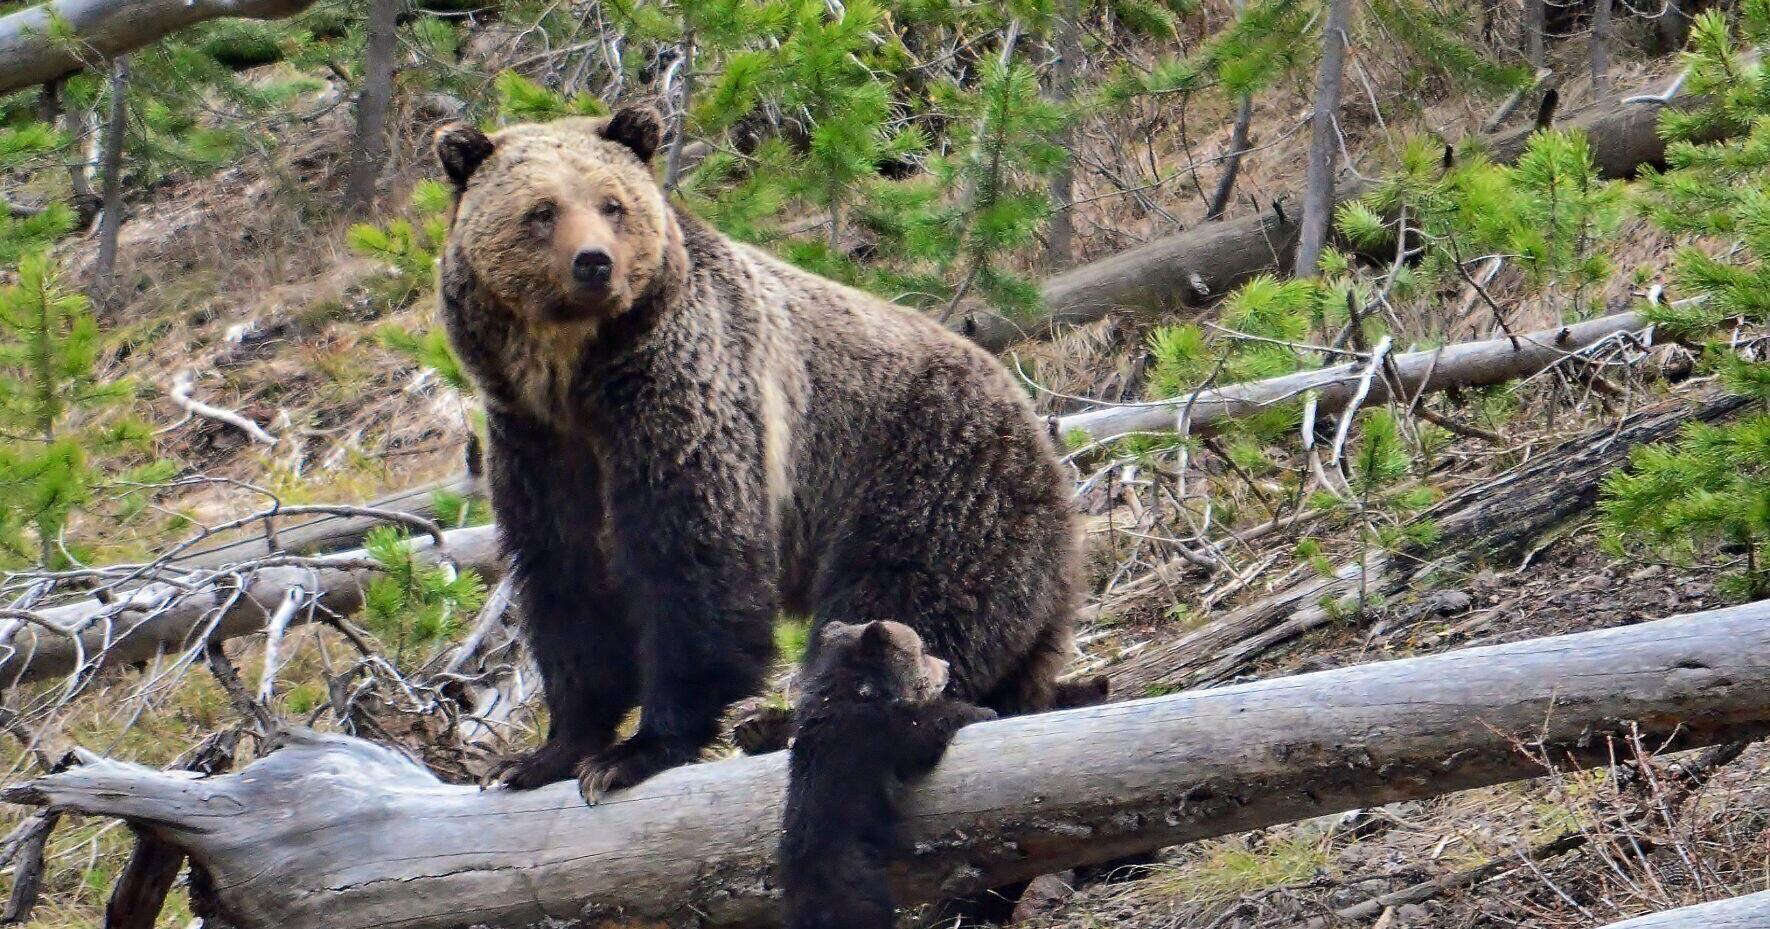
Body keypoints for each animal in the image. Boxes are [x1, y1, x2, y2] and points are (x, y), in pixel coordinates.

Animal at [433, 105, 1080, 802]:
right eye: (542, 210)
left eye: (611, 204)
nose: (594, 263)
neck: (574, 378)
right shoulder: (536, 444)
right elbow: (566, 583)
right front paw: (544, 754)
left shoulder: (684, 398)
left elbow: (693, 562)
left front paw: (638, 750)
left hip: (932, 474)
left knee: (904, 602)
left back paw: (791, 721)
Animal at [779, 620, 994, 929]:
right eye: (922, 650)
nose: (947, 665)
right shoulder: (877, 732)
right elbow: (924, 732)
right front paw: (981, 710)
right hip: (856, 882)